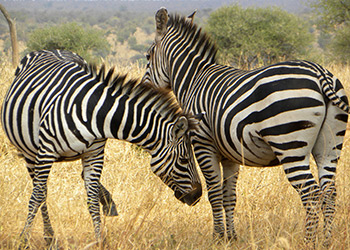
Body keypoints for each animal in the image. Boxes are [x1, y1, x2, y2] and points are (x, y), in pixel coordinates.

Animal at [2, 49, 204, 248]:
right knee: (41, 192)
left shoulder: (94, 154)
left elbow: (91, 200)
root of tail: (50, 49)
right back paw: (49, 237)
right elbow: (37, 196)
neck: (94, 113)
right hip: (30, 154)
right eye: (184, 160)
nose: (198, 195)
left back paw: (107, 202)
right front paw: (23, 239)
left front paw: (100, 239)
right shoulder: (46, 152)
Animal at [143, 7, 350, 244]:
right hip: (330, 144)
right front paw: (231, 237)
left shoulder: (203, 144)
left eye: (147, 56)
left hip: (290, 144)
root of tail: (319, 73)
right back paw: (326, 241)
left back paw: (308, 242)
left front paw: (217, 237)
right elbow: (229, 196)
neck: (193, 80)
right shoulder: (230, 154)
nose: (145, 88)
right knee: (329, 193)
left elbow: (214, 194)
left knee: (311, 194)